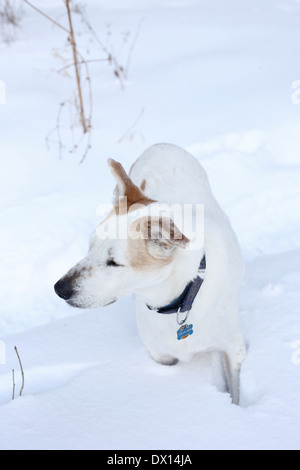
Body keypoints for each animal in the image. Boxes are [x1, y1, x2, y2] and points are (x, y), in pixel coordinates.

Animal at [54, 142, 246, 404]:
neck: (180, 300)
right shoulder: (160, 356)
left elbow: (236, 391)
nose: (59, 289)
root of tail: (161, 145)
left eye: (114, 262)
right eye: (90, 246)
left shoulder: (233, 348)